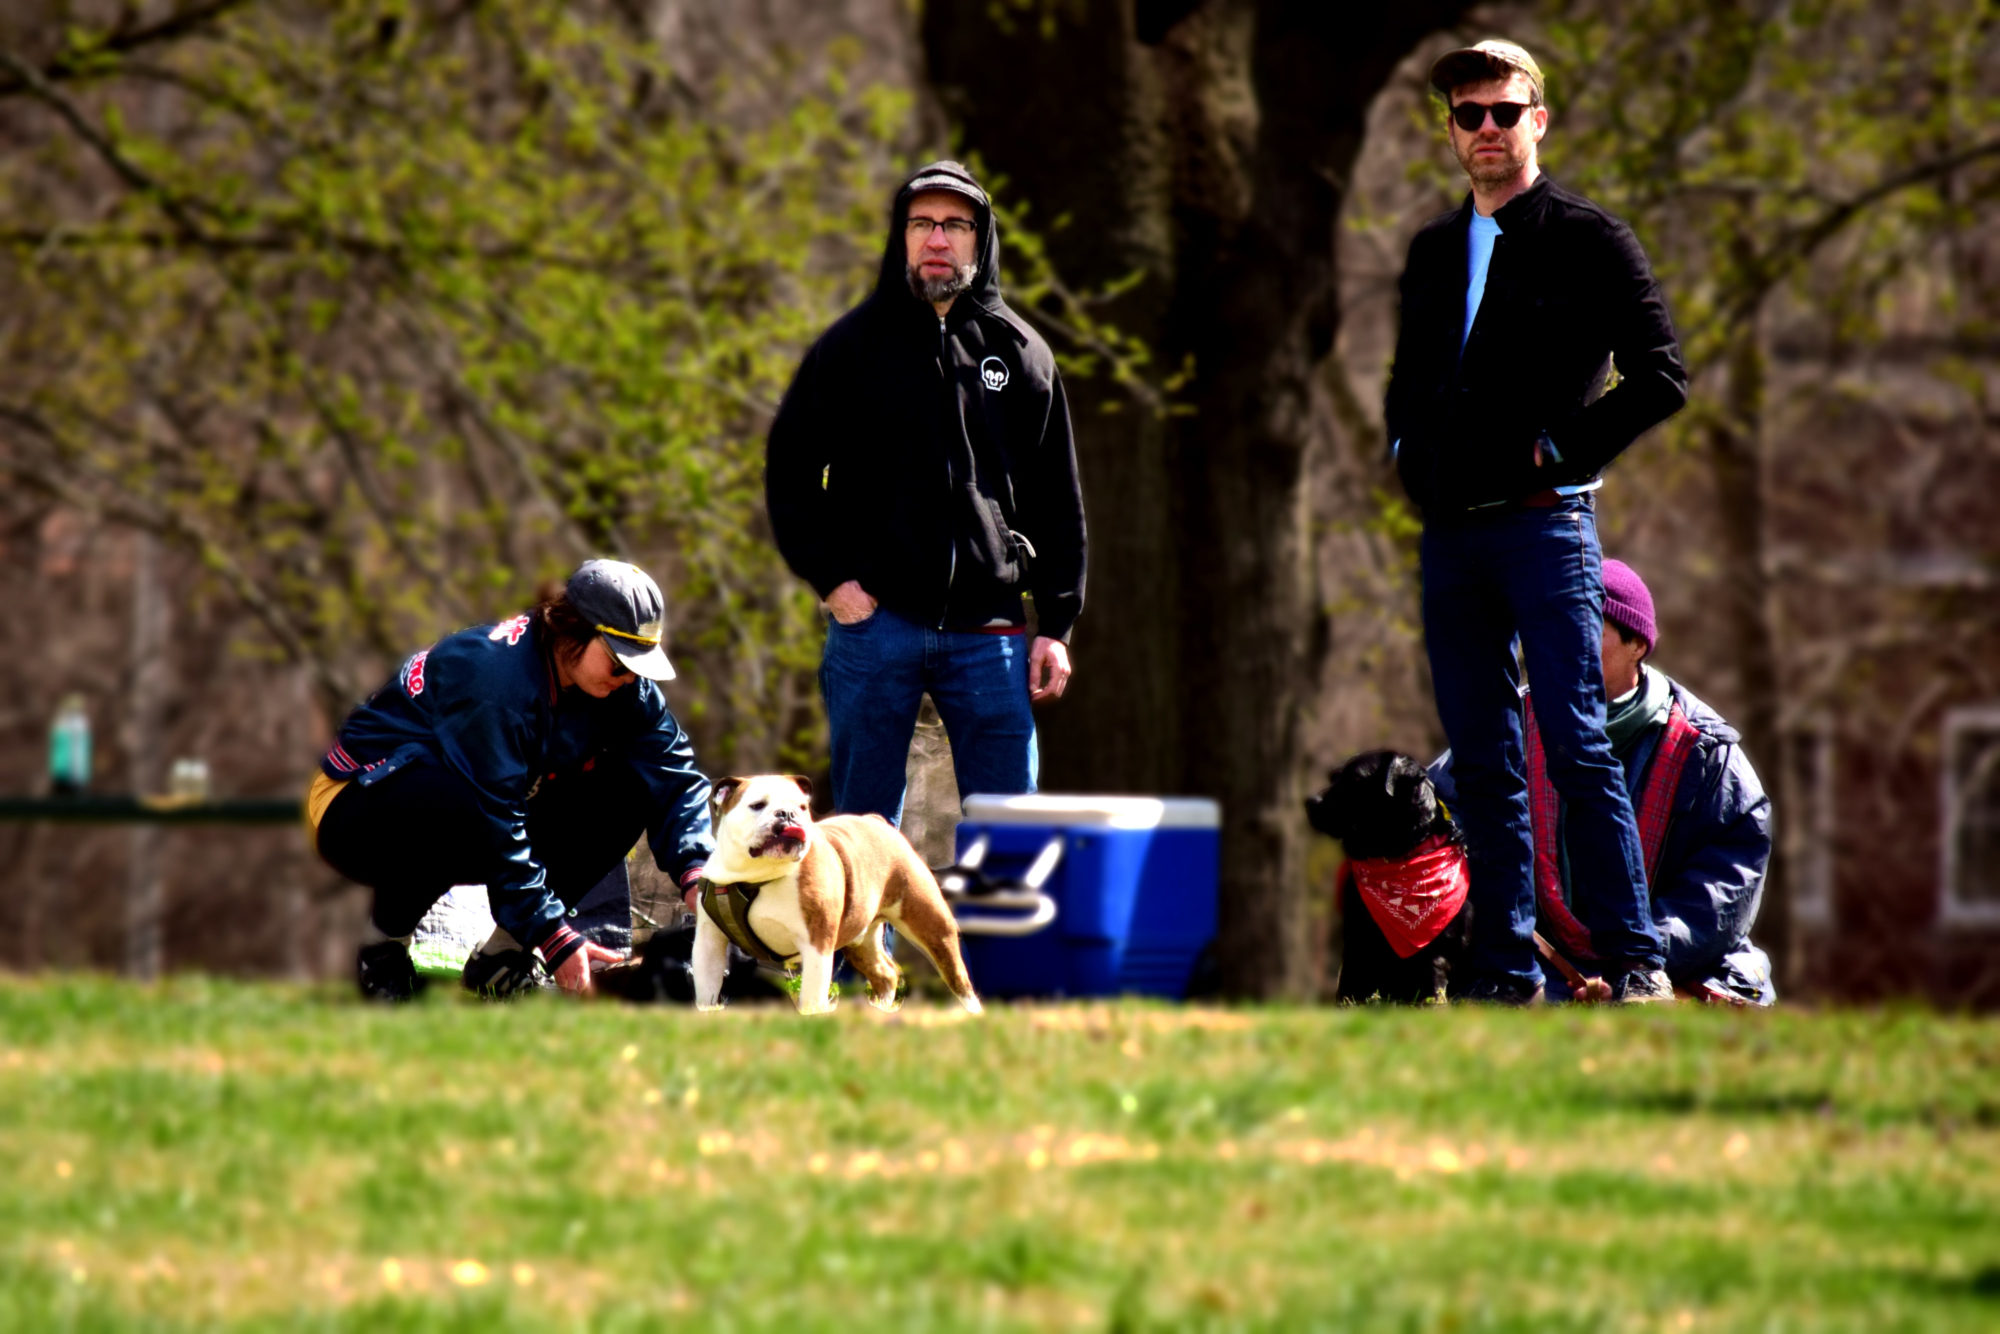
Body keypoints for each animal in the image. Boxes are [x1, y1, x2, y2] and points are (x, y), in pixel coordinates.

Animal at [1312, 752, 1472, 1000]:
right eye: (1334, 777)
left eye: (1356, 780)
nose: (1311, 802)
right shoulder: (1356, 939)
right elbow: (1350, 983)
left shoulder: (1440, 948)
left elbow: (1434, 981)